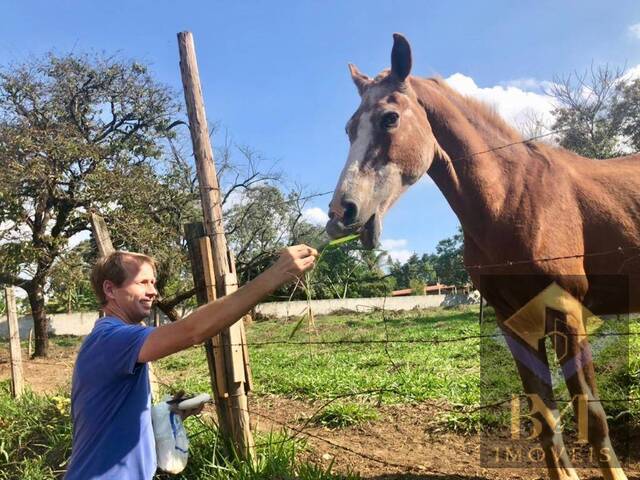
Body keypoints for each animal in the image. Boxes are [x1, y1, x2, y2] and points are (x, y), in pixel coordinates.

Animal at [328, 33, 636, 480]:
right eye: (350, 128)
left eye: (389, 118)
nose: (341, 214)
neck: (513, 198)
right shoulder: (514, 323)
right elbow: (546, 420)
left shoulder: (568, 313)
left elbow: (592, 418)